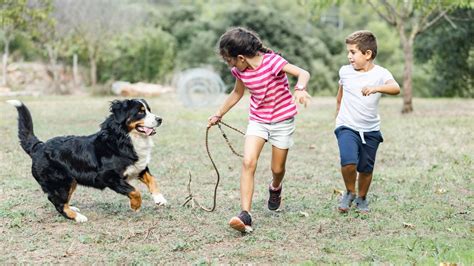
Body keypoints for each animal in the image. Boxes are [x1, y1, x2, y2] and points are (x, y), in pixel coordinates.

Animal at [7, 98, 168, 222]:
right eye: (140, 112)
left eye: (149, 110)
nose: (160, 119)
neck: (124, 139)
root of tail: (39, 147)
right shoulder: (109, 176)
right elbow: (134, 191)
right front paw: (135, 205)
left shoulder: (139, 167)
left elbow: (152, 180)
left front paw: (159, 199)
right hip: (61, 181)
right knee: (58, 203)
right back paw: (77, 217)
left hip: (70, 181)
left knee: (60, 200)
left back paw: (72, 208)